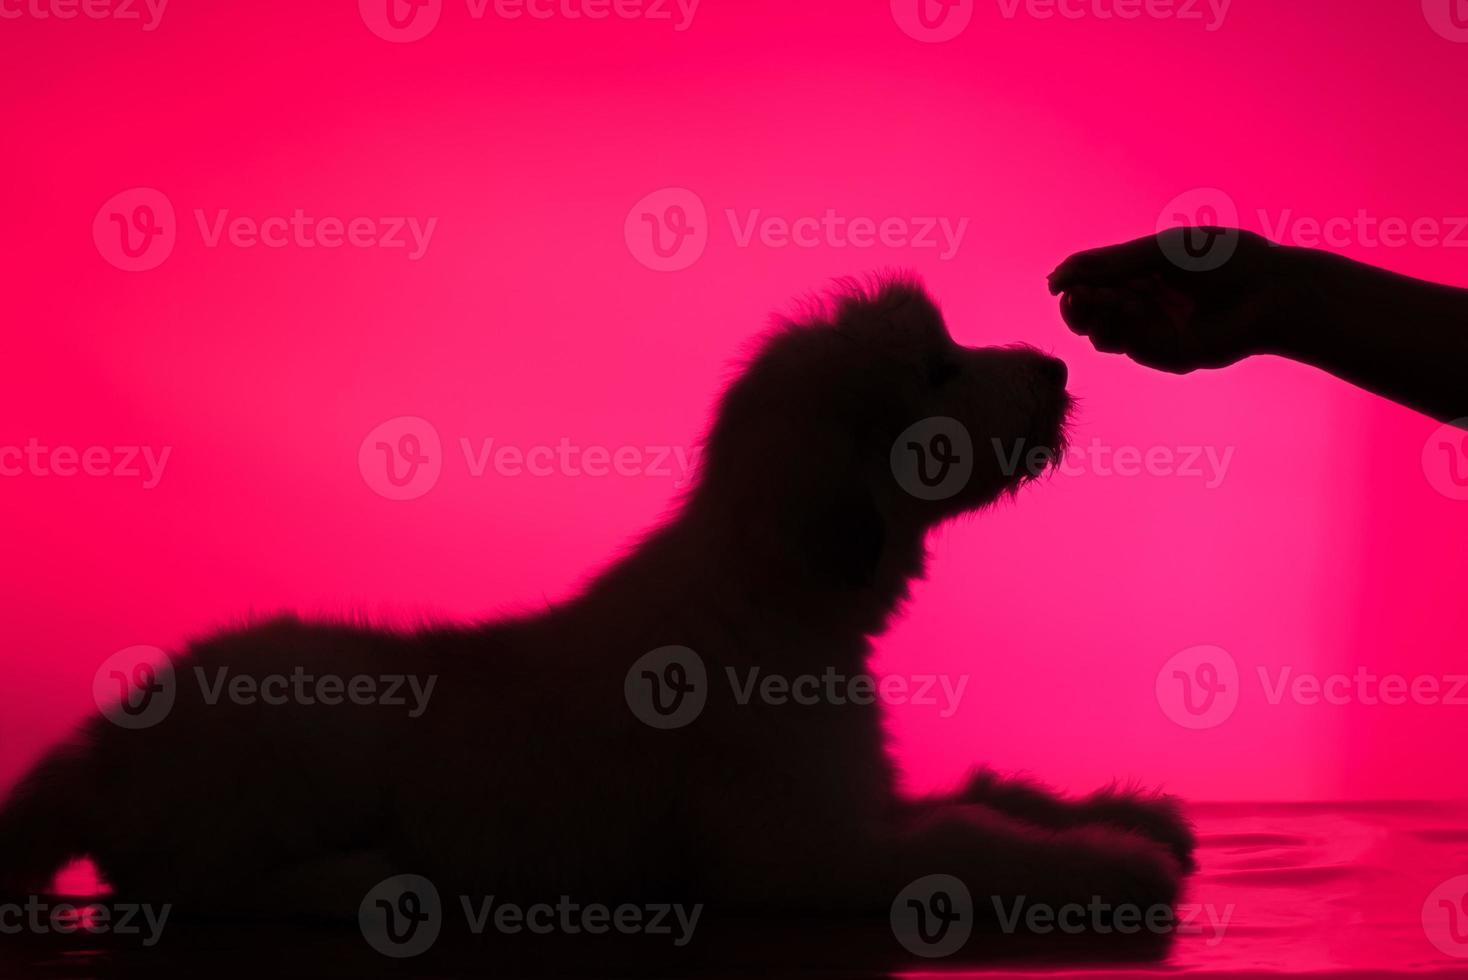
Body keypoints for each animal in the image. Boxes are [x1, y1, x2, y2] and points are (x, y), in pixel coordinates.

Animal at [0, 278, 1192, 938]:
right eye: (938, 369)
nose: (1053, 367)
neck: (775, 594)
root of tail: (102, 746)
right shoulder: (803, 850)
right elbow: (970, 839)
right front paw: (1109, 865)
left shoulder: (852, 796)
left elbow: (986, 793)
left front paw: (1131, 814)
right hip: (317, 724)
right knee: (188, 879)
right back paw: (361, 882)